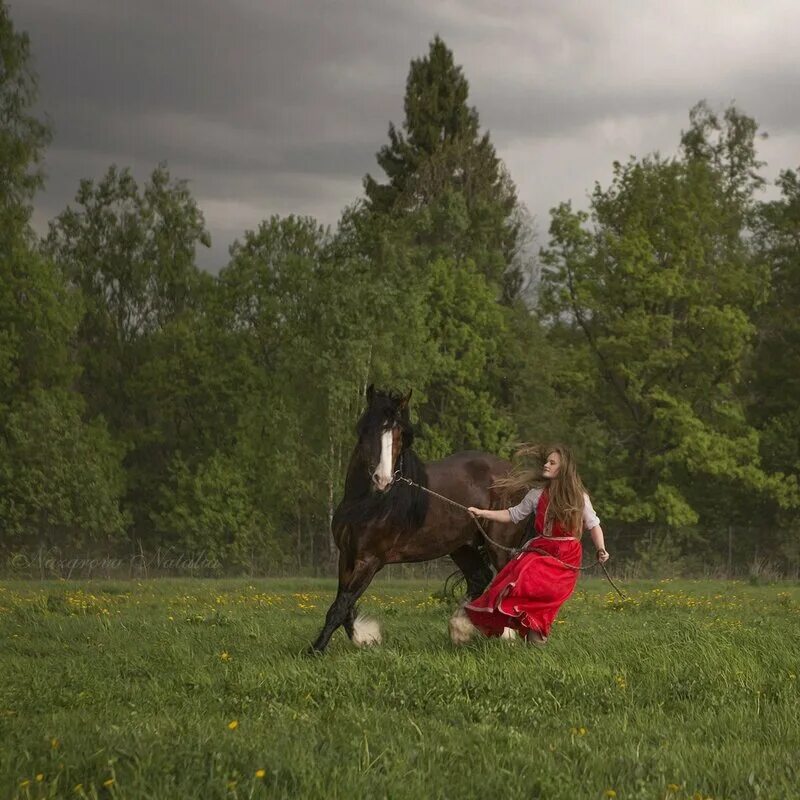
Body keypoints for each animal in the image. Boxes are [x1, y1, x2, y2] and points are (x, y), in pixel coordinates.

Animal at [306, 384, 524, 652]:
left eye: (400, 434)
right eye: (367, 430)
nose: (382, 479)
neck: (367, 503)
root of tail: (514, 475)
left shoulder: (370, 560)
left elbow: (340, 606)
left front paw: (315, 649)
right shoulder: (346, 556)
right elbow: (345, 604)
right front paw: (365, 637)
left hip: (498, 546)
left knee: (504, 579)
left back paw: (507, 637)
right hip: (462, 546)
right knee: (479, 578)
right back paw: (460, 629)